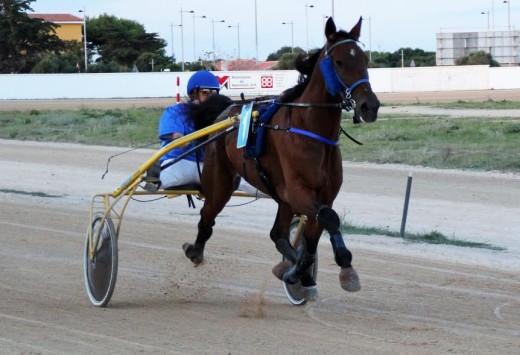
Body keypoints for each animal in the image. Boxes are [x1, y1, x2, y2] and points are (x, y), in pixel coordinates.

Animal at [183, 17, 378, 300]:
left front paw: (300, 272)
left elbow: (316, 231)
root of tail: (226, 111)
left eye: (364, 59)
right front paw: (345, 268)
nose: (369, 106)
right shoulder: (298, 191)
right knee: (207, 215)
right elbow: (330, 218)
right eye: (340, 61)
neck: (310, 130)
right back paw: (195, 251)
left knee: (278, 233)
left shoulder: (322, 194)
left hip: (281, 195)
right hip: (221, 182)